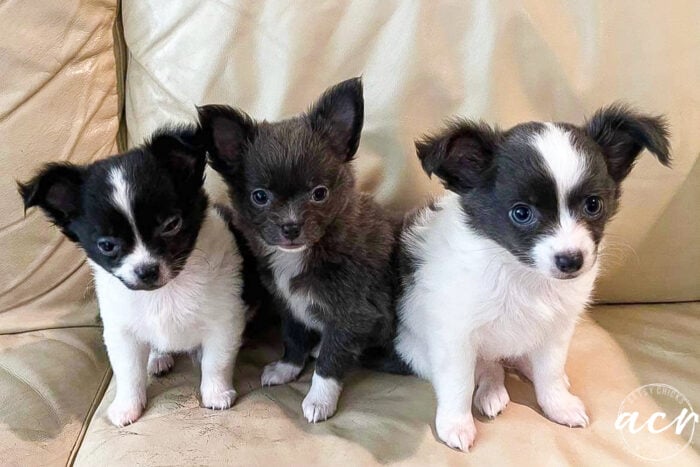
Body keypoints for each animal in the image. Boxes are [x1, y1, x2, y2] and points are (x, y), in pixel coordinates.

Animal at [17, 129, 247, 428]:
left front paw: (216, 394)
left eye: (172, 225)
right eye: (106, 245)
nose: (146, 270)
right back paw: (159, 357)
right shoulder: (121, 332)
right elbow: (128, 373)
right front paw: (127, 407)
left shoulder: (225, 321)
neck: (165, 291)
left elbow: (217, 361)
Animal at [396, 105, 668, 450]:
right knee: (489, 365)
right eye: (521, 213)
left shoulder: (557, 328)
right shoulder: (454, 335)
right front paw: (456, 424)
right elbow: (459, 382)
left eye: (593, 205)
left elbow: (549, 370)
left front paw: (558, 404)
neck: (521, 274)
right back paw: (492, 389)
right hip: (414, 349)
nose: (571, 260)